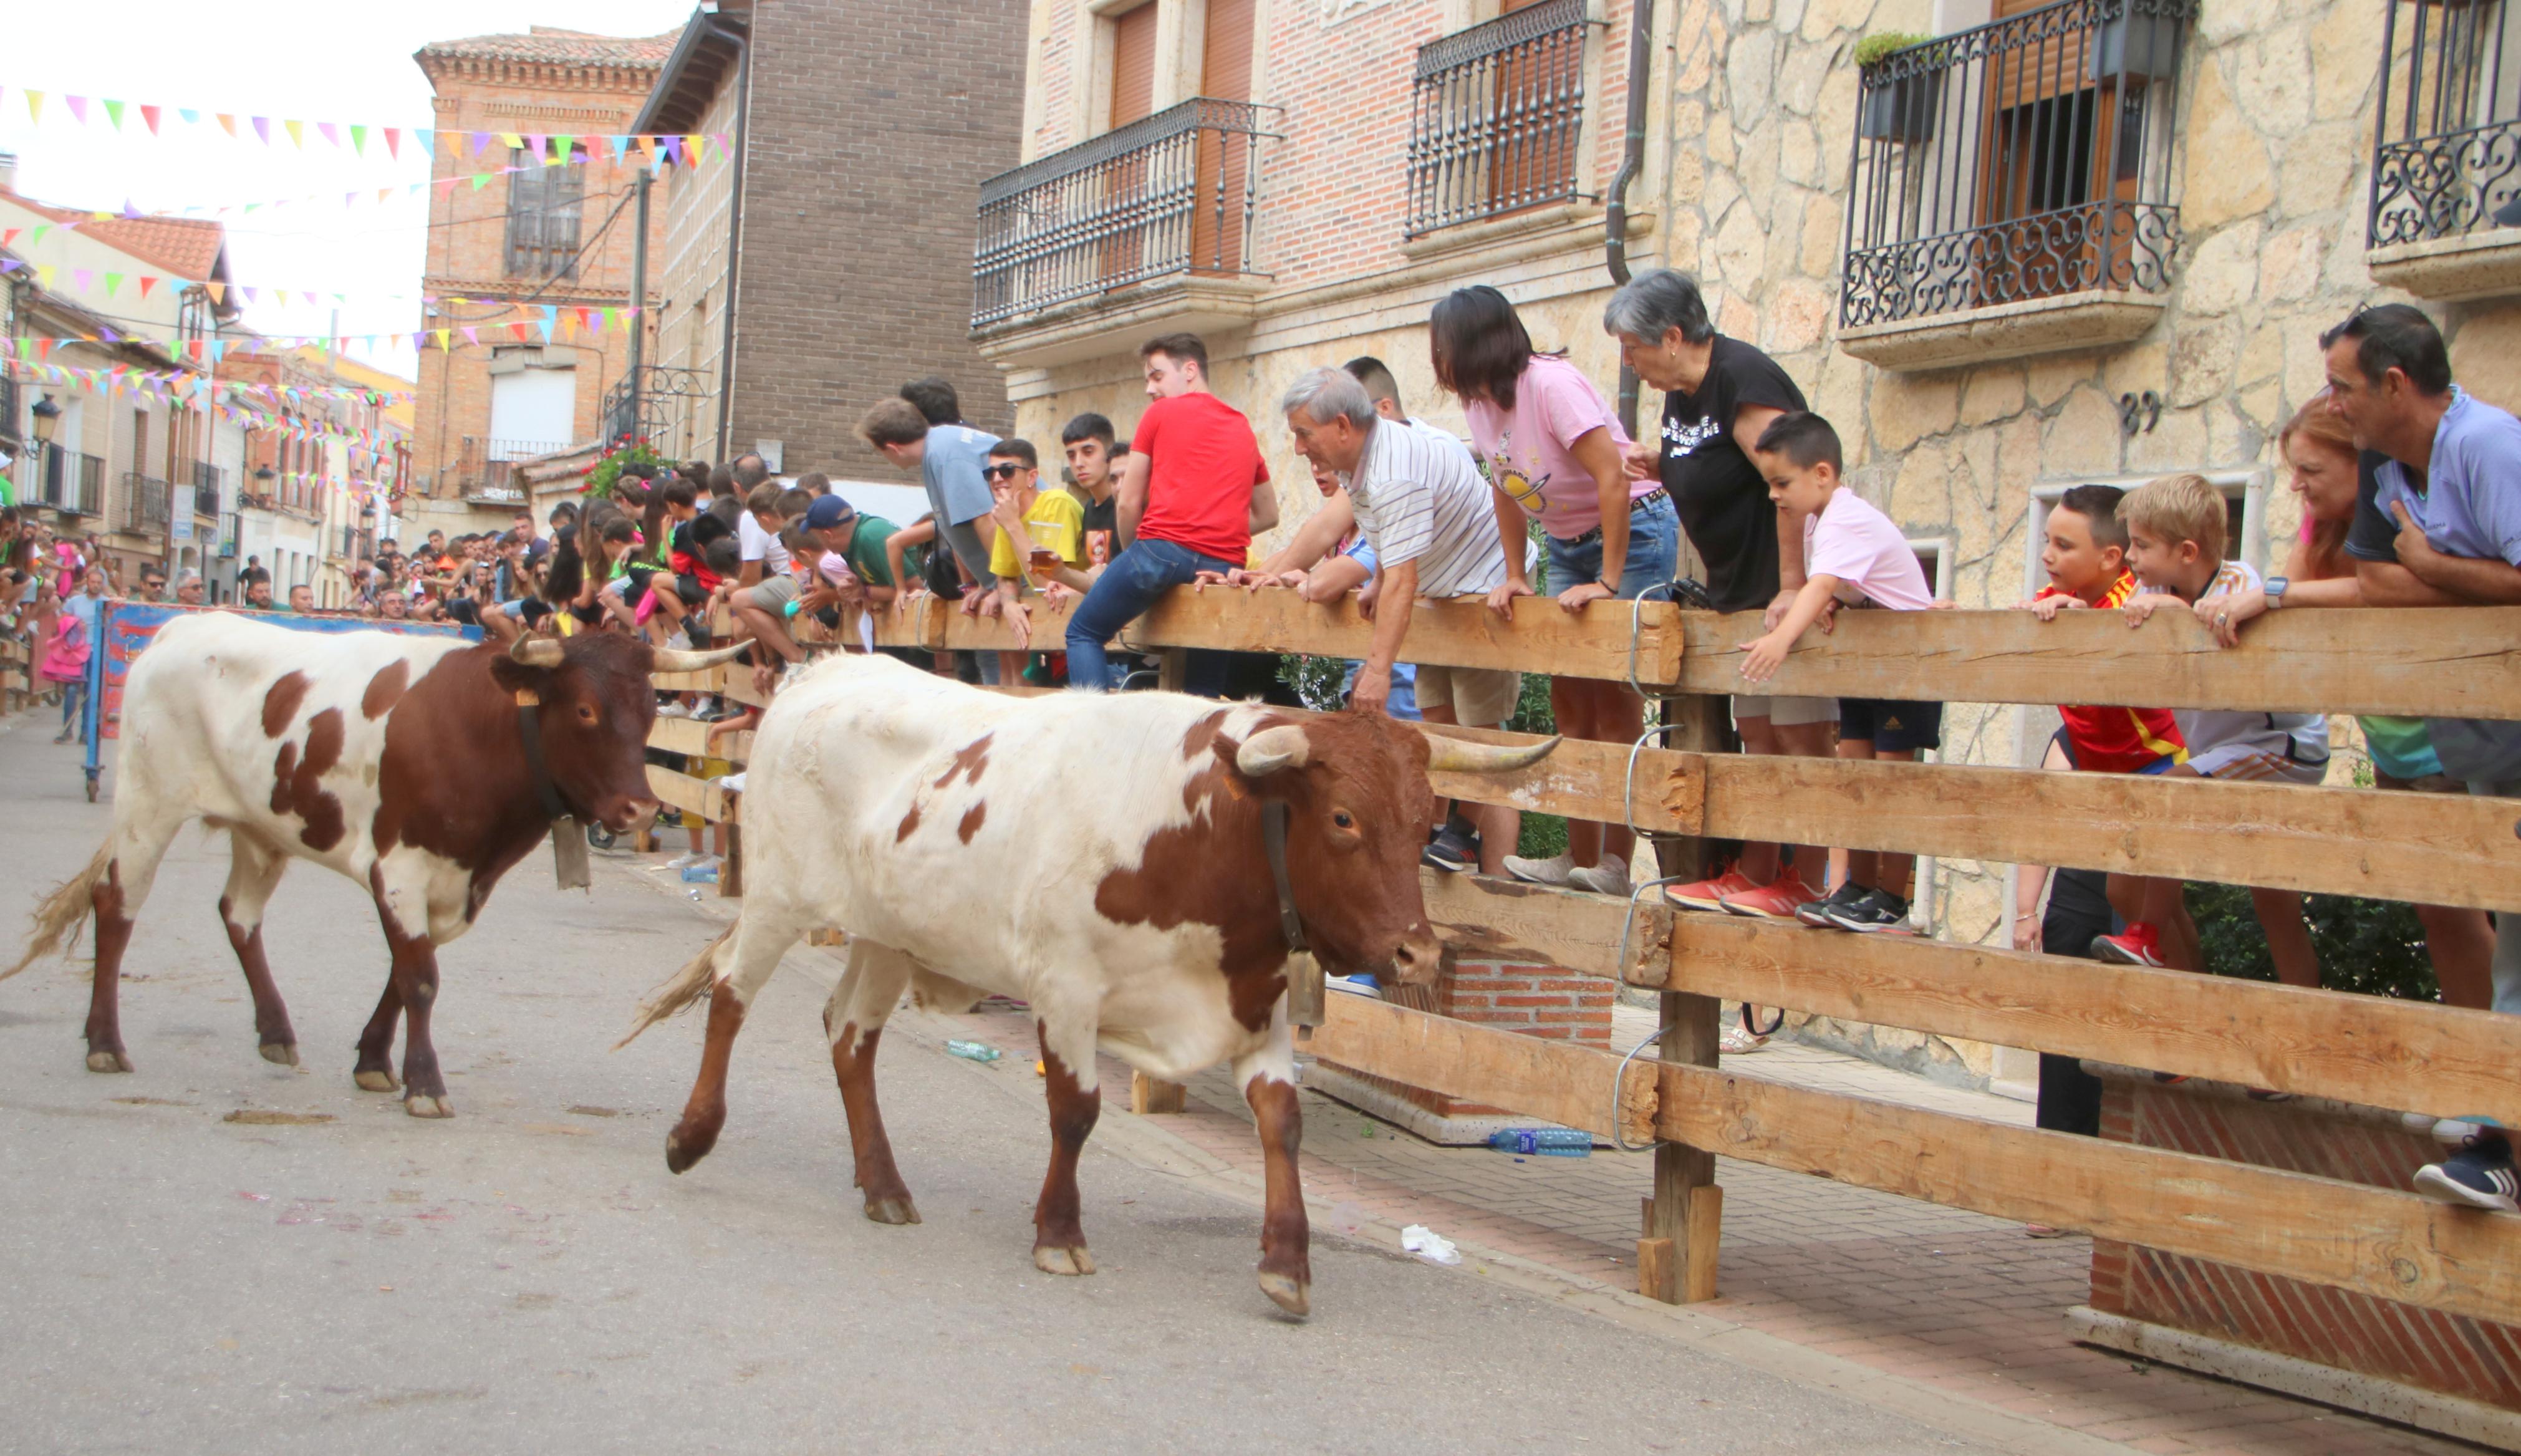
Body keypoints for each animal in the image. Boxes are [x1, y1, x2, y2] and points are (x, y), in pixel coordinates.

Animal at [7, 609, 736, 1108]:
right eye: (585, 710)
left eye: (650, 713)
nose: (640, 810)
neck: (485, 732)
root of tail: (177, 628)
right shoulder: (402, 866)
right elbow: (420, 978)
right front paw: (424, 1082)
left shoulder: (456, 879)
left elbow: (404, 968)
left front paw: (374, 1059)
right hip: (147, 804)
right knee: (117, 905)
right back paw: (105, 1043)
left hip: (260, 826)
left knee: (238, 914)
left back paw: (275, 1029)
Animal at [620, 650, 1543, 1309]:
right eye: (1344, 818)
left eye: (1424, 822)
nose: (1417, 956)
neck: (1202, 832)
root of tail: (824, 668)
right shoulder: (1064, 988)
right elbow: (1075, 1110)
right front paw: (1058, 1232)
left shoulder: (1256, 1005)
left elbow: (1280, 1124)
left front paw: (1286, 1260)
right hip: (778, 896)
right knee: (732, 997)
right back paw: (690, 1136)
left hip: (886, 933)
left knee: (849, 1035)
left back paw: (883, 1185)